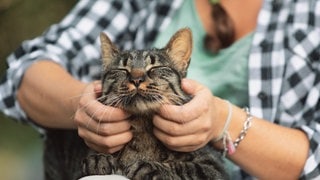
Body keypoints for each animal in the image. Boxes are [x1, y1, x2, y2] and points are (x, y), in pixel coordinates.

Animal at [43, 28, 228, 180]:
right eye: (122, 70)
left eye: (154, 68)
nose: (136, 79)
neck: (142, 127)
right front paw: (98, 159)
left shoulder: (213, 167)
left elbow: (184, 168)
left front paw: (151, 167)